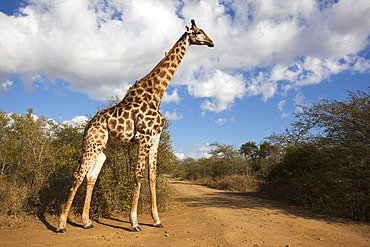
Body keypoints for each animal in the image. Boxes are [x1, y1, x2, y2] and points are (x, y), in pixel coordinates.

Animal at [57, 19, 214, 233]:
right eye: (198, 32)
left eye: (204, 31)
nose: (211, 42)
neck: (157, 93)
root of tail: (87, 126)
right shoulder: (145, 136)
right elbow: (138, 175)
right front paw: (134, 222)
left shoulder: (155, 138)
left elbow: (152, 176)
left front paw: (157, 220)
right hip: (93, 144)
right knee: (78, 175)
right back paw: (61, 224)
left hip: (105, 146)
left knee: (91, 176)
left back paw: (87, 221)